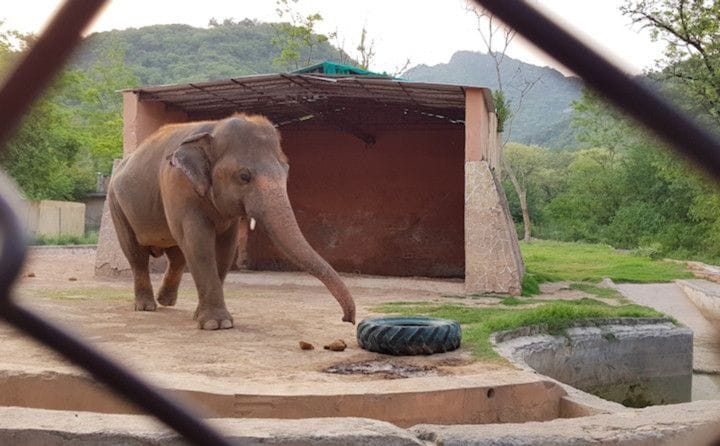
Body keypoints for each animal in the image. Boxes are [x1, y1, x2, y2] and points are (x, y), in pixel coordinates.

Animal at [107, 113, 356, 330]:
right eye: (244, 176)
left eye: (286, 171)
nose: (348, 320)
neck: (214, 127)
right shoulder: (177, 185)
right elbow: (199, 243)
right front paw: (216, 324)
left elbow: (226, 248)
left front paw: (201, 317)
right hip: (115, 204)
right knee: (137, 255)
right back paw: (146, 307)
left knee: (177, 255)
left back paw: (166, 301)